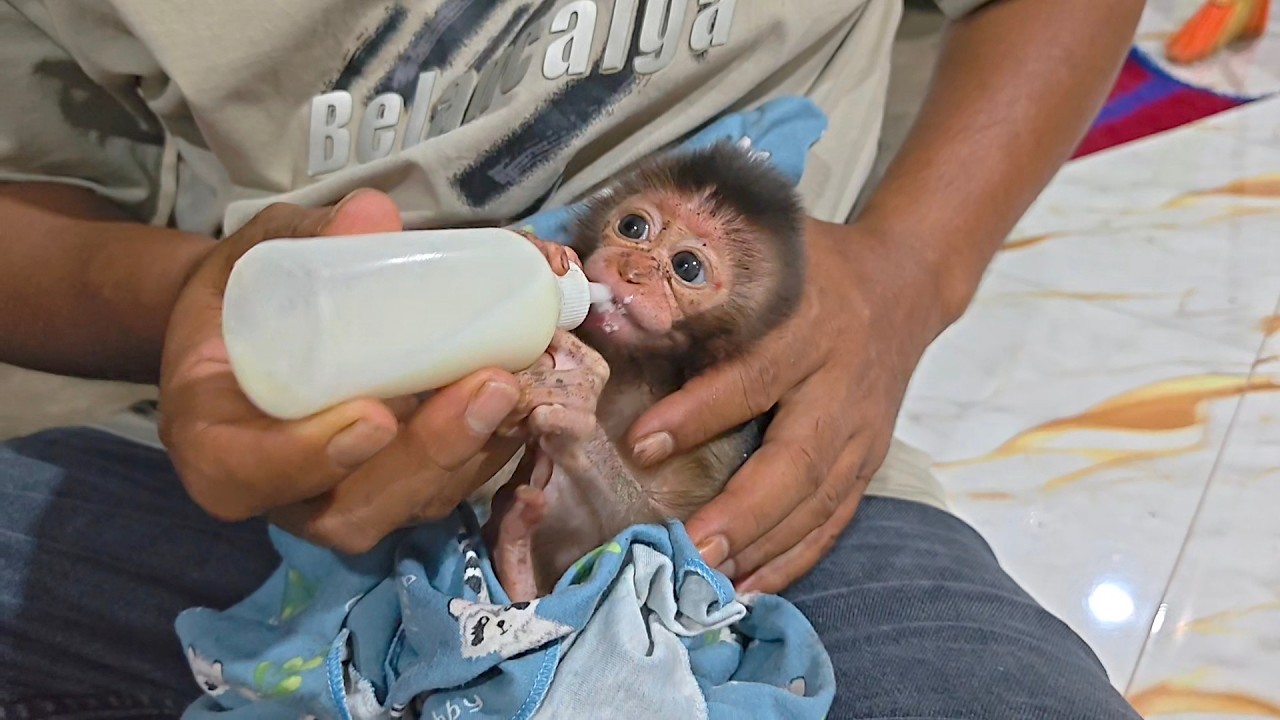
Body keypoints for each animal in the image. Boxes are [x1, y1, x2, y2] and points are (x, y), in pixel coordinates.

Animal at [482, 141, 806, 602]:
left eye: (687, 267)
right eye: (633, 227)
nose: (631, 271)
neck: (634, 369)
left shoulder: (722, 448)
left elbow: (661, 549)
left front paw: (579, 411)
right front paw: (540, 251)